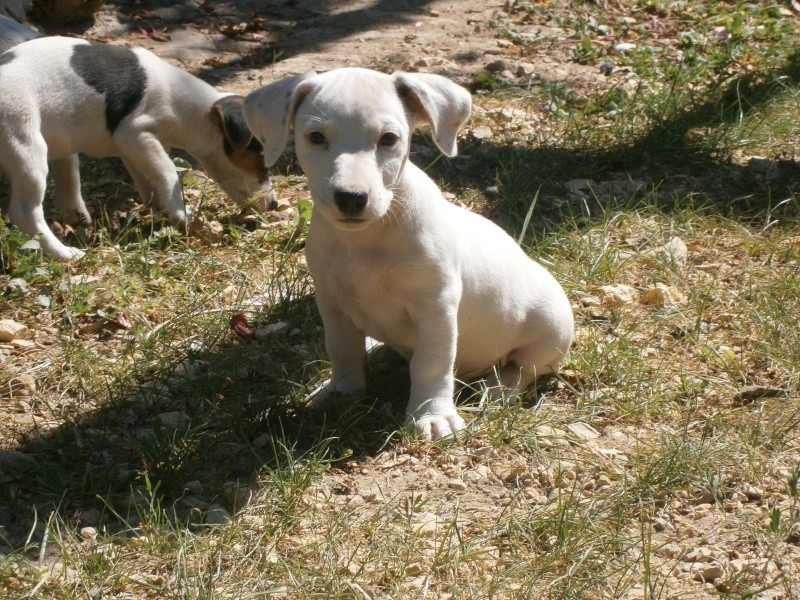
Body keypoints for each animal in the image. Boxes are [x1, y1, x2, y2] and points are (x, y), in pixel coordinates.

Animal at [0, 35, 276, 260]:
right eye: (261, 154)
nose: (274, 204)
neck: (191, 109)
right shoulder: (135, 133)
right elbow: (168, 173)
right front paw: (182, 215)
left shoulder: (132, 148)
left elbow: (148, 182)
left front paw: (160, 209)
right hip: (27, 147)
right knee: (24, 212)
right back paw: (67, 254)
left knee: (67, 185)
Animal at [244, 68, 576, 440]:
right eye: (316, 137)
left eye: (389, 139)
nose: (351, 198)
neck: (366, 239)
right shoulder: (331, 302)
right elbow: (342, 349)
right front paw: (342, 391)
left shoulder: (435, 307)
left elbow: (430, 364)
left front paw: (431, 415)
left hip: (549, 332)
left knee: (521, 371)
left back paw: (495, 388)